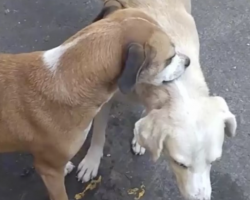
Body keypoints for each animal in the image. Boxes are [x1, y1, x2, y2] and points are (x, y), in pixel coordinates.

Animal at [79, 0, 237, 200]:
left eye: (214, 161)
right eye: (180, 164)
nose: (202, 198)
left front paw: (139, 140)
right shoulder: (105, 99)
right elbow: (99, 134)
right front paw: (91, 162)